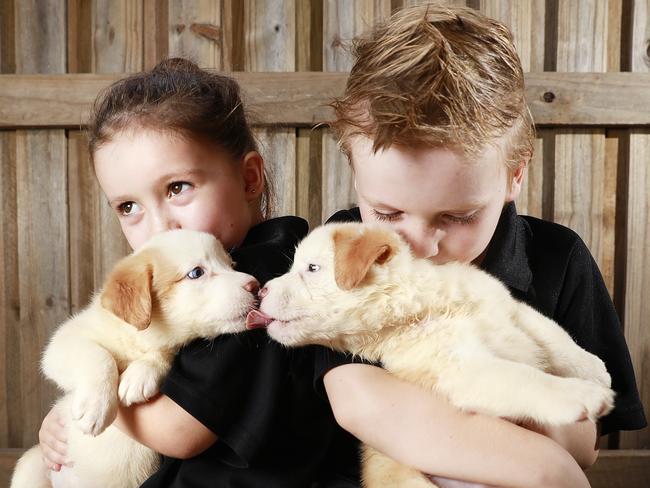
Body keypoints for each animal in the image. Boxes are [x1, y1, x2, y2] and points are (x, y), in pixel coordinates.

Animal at [10, 229, 258, 488]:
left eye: (231, 265)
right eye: (196, 273)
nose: (256, 285)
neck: (139, 340)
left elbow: (163, 353)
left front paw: (139, 377)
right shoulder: (64, 341)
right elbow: (99, 356)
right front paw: (95, 406)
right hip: (31, 464)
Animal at [247, 224, 612, 488]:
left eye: (312, 268)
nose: (261, 290)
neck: (423, 305)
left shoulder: (510, 307)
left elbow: (553, 335)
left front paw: (595, 371)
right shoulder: (462, 369)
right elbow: (524, 378)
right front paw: (581, 395)